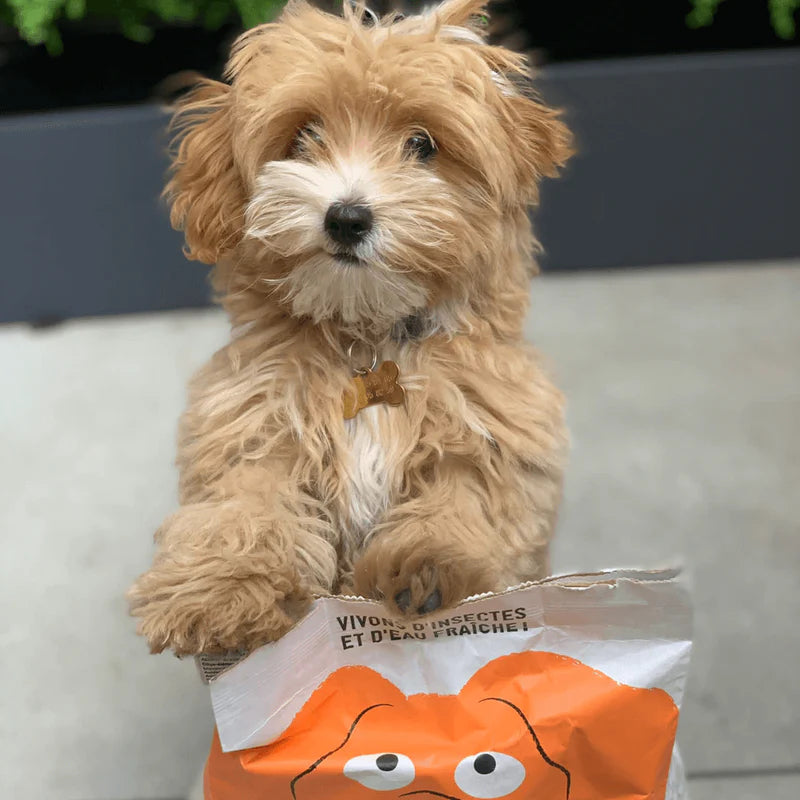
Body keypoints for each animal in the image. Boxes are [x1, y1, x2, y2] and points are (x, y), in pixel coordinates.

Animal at [128, 0, 572, 656]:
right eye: (303, 136)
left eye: (422, 144)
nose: (346, 217)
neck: (366, 338)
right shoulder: (253, 418)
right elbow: (243, 503)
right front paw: (219, 590)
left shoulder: (493, 422)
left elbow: (468, 493)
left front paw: (431, 564)